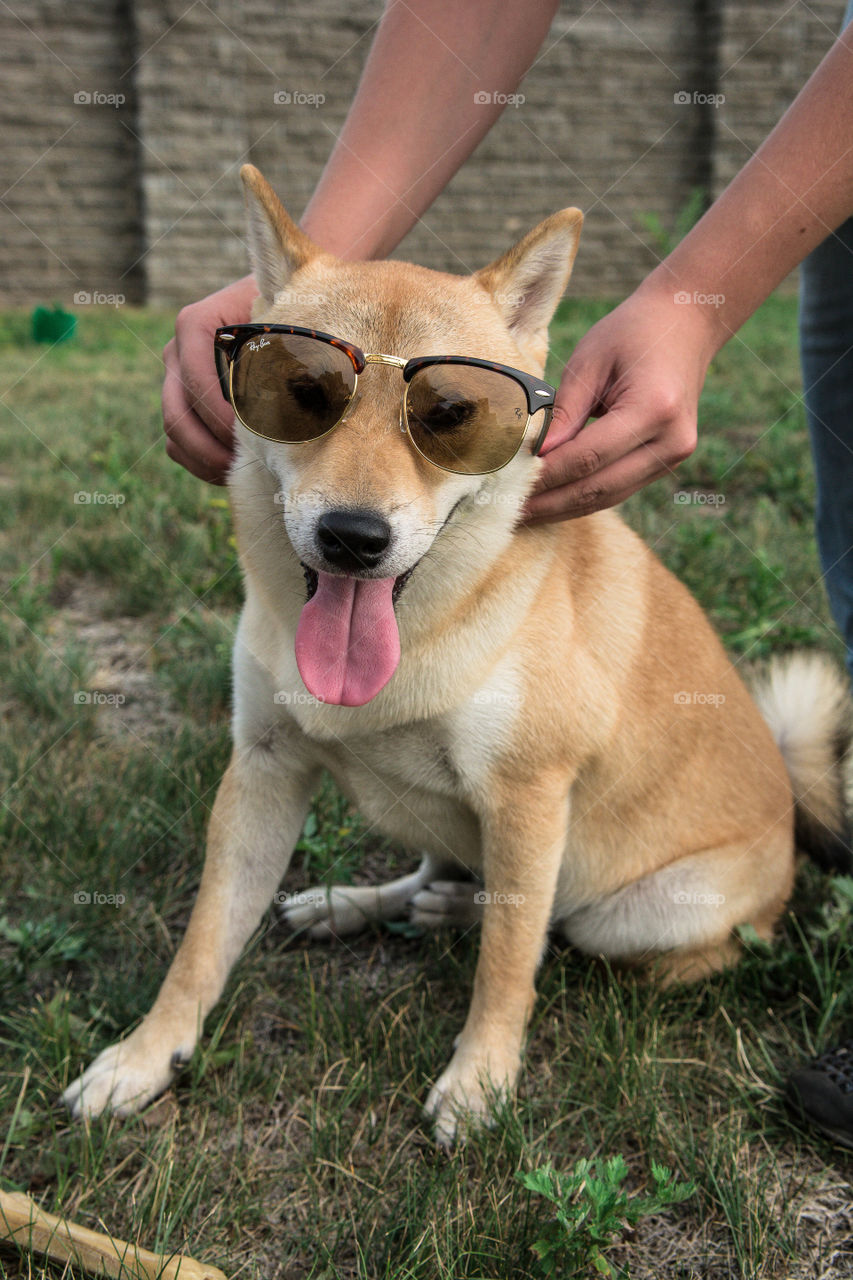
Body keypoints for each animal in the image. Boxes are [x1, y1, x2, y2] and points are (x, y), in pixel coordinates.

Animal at [61, 165, 850, 1146]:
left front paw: (481, 1081)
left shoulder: (527, 798)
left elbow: (507, 964)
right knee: (443, 874)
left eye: (452, 413)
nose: (353, 537)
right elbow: (203, 941)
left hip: (641, 913)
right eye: (301, 389)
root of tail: (787, 811)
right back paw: (367, 904)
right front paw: (144, 1056)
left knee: (573, 931)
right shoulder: (264, 767)